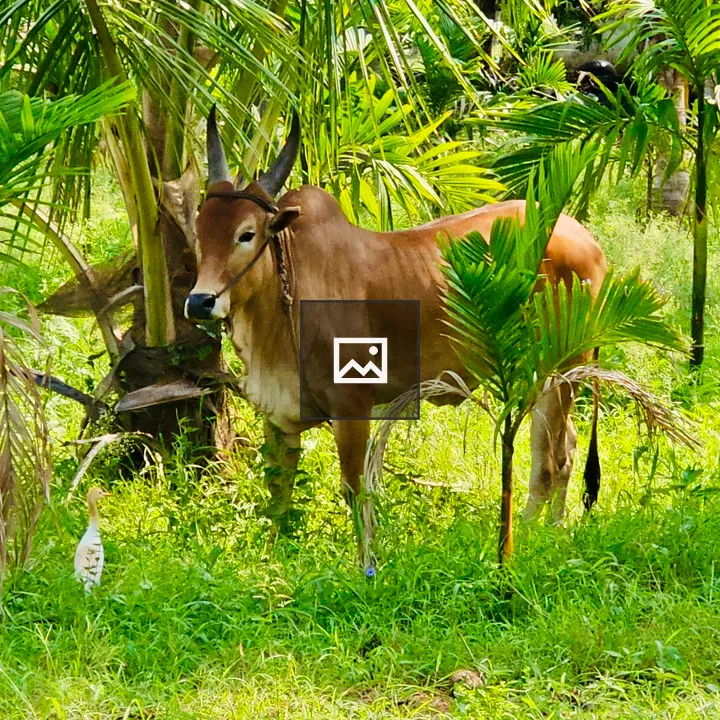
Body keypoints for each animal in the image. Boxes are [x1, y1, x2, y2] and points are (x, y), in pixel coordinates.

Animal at [185, 107, 607, 538]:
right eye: (198, 233)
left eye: (246, 234)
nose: (200, 302)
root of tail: (585, 239)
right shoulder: (278, 415)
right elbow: (279, 497)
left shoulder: (353, 405)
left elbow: (355, 491)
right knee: (567, 447)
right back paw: (555, 528)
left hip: (558, 369)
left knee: (549, 462)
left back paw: (526, 535)